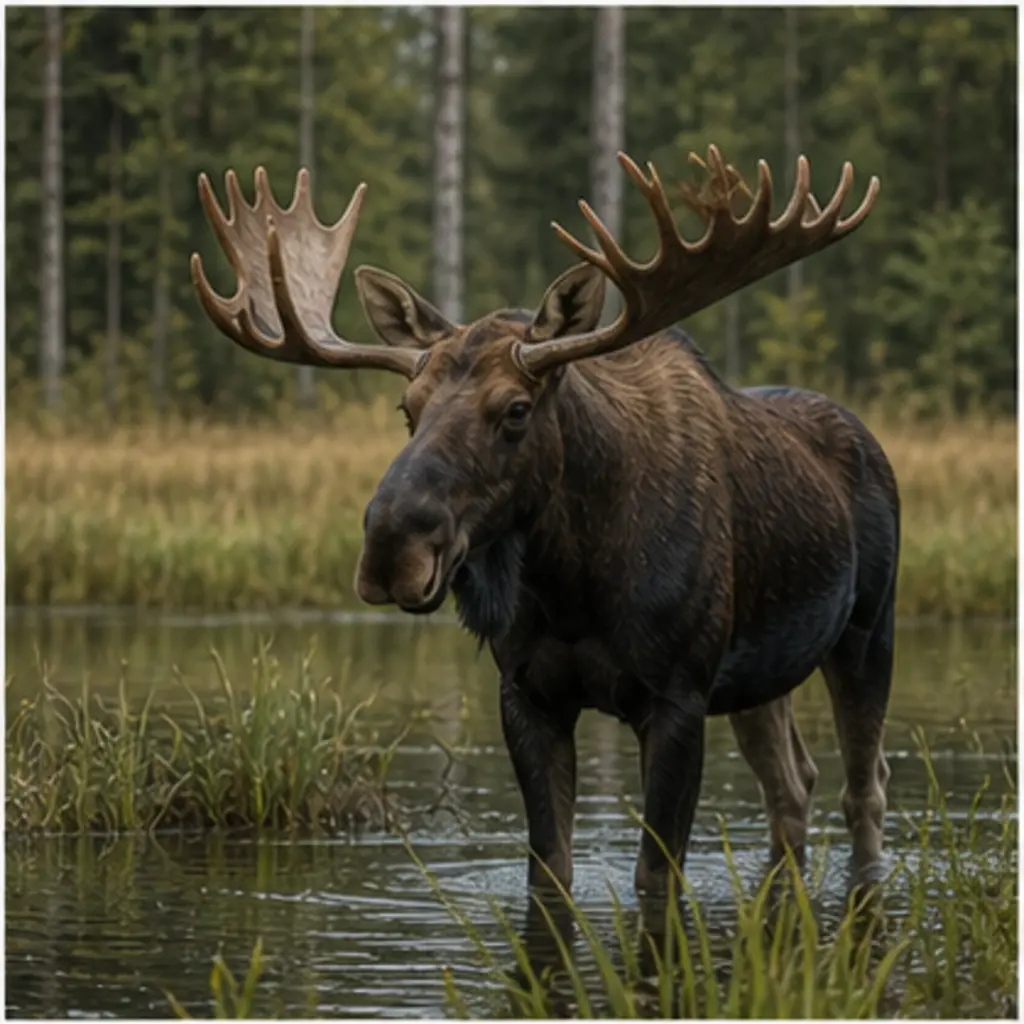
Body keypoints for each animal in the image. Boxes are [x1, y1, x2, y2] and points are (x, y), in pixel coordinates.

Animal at [191, 144, 898, 899]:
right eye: (407, 407)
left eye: (516, 409)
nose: (390, 548)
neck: (574, 585)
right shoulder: (527, 693)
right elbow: (548, 868)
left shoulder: (677, 694)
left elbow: (655, 874)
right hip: (759, 676)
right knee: (792, 786)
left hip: (867, 631)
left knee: (864, 790)